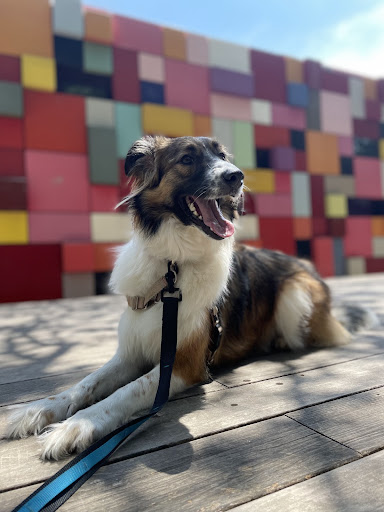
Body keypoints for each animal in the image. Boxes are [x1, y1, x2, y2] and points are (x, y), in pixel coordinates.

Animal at [6, 136, 378, 460]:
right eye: (187, 159)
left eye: (223, 157)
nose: (237, 176)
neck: (174, 267)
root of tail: (306, 266)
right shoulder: (129, 353)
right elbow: (85, 384)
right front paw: (40, 409)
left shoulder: (184, 363)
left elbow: (126, 392)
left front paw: (76, 425)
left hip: (295, 294)